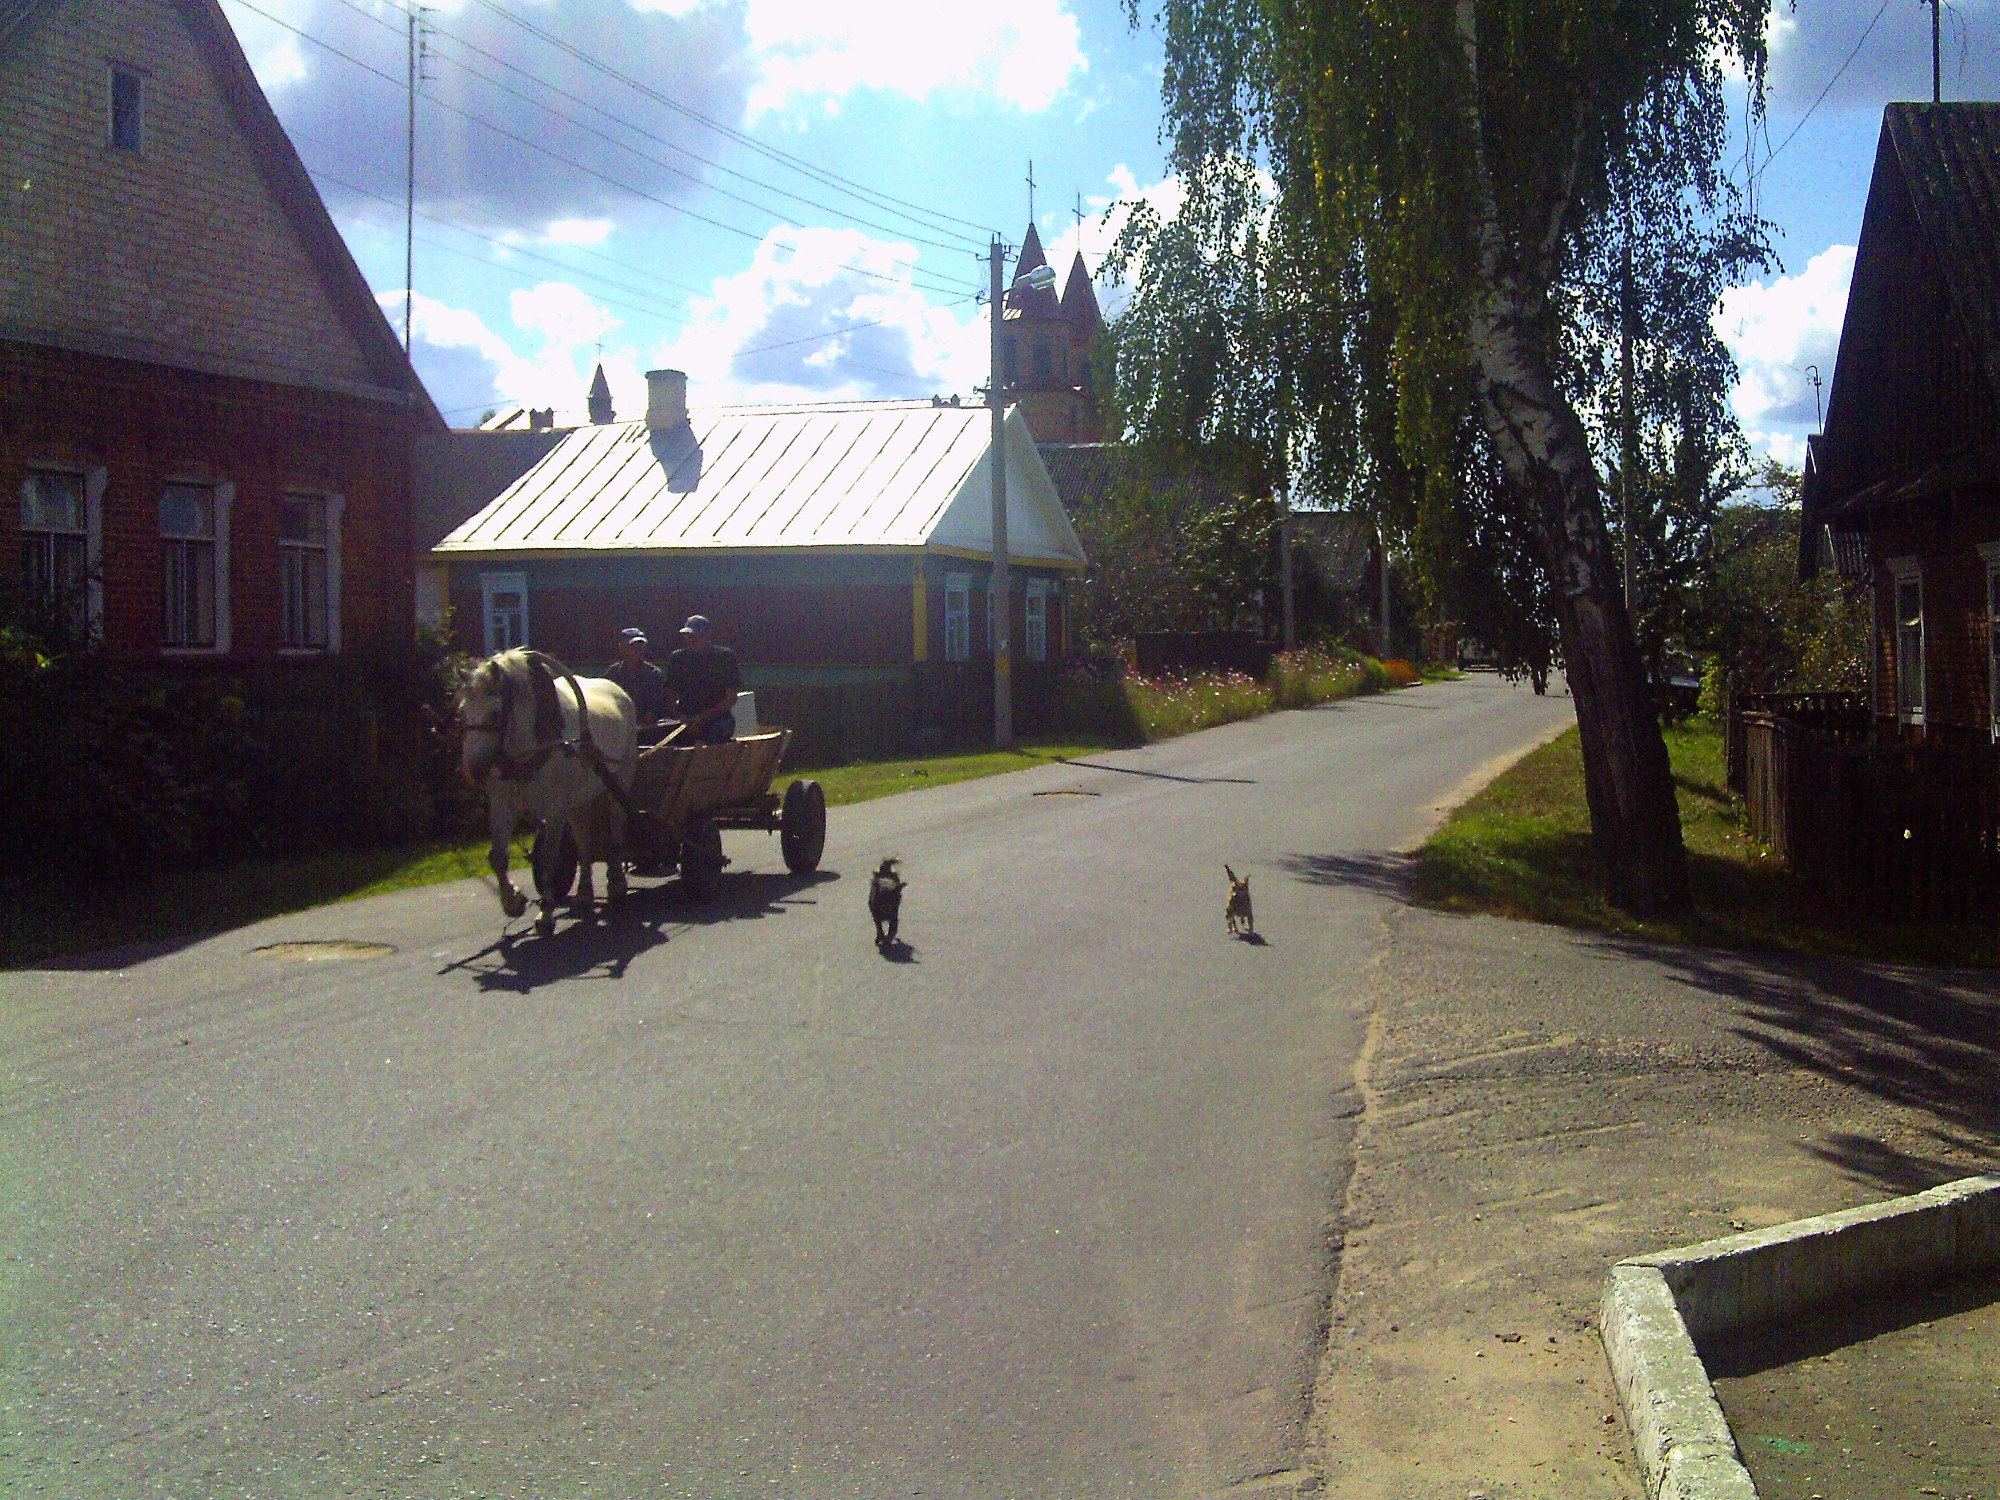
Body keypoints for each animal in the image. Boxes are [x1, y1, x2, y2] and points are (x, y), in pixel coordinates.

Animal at [458, 648, 636, 936]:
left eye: (496, 713)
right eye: (463, 712)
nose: (473, 770)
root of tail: (619, 691)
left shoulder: (554, 811)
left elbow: (549, 859)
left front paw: (546, 913)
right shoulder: (502, 806)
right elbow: (498, 857)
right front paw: (513, 902)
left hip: (618, 783)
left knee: (615, 831)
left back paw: (617, 884)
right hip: (578, 799)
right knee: (583, 841)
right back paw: (584, 893)